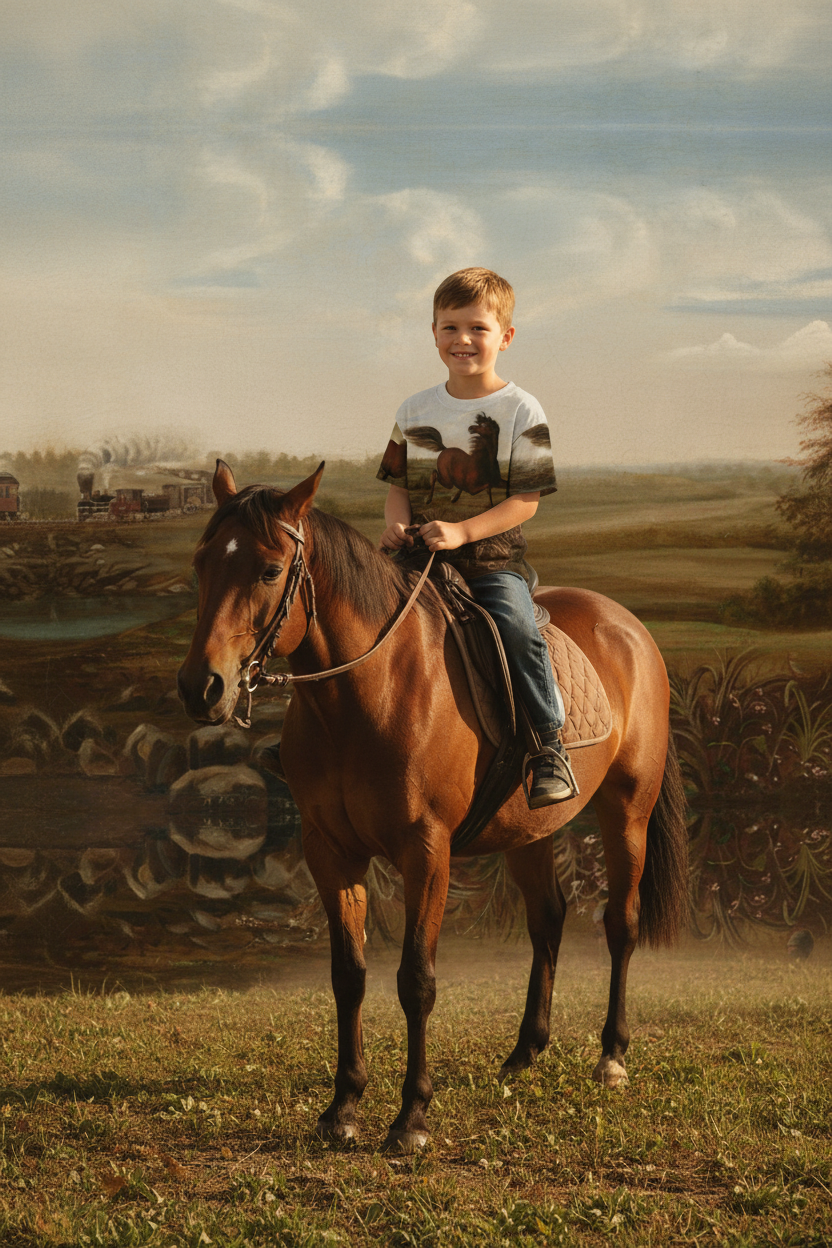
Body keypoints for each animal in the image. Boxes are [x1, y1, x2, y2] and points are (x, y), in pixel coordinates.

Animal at [177, 460, 689, 1154]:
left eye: (268, 569)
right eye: (203, 561)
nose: (201, 687)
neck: (369, 693)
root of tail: (628, 627)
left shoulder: (426, 850)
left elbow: (415, 980)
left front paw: (411, 1117)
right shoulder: (330, 851)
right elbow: (349, 975)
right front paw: (342, 1108)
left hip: (626, 811)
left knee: (620, 924)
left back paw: (611, 1056)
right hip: (530, 829)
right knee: (548, 920)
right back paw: (524, 1053)